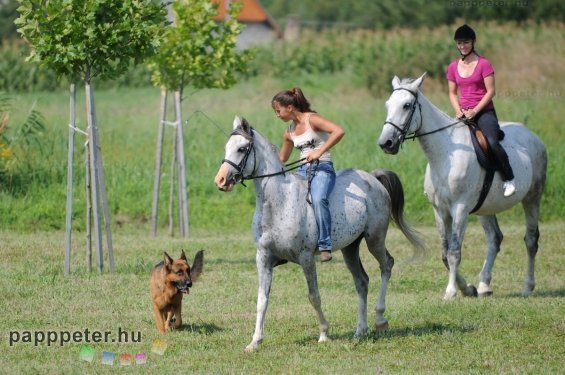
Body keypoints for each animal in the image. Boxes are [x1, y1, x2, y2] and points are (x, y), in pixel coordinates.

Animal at [216, 117, 424, 352]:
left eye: (242, 148)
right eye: (227, 147)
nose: (220, 180)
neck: (279, 201)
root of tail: (373, 178)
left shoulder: (306, 258)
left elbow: (313, 296)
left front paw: (324, 334)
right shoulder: (263, 258)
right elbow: (262, 300)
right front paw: (255, 342)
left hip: (375, 239)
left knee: (386, 265)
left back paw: (380, 320)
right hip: (350, 248)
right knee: (361, 281)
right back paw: (360, 331)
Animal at [376, 73, 544, 302]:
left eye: (406, 105)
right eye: (387, 105)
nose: (386, 143)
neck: (445, 155)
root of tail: (533, 136)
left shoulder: (460, 209)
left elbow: (454, 252)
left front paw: (451, 291)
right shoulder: (440, 211)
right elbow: (444, 253)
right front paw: (468, 288)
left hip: (532, 198)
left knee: (531, 240)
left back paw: (527, 287)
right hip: (486, 208)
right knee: (494, 239)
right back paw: (484, 285)